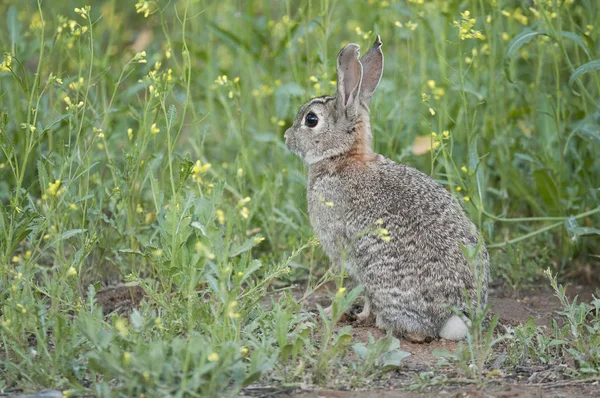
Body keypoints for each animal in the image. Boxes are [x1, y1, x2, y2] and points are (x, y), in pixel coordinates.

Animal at [284, 36, 488, 342]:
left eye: (311, 119)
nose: (286, 137)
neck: (341, 156)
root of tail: (451, 317)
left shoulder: (341, 250)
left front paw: (344, 314)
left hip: (379, 276)